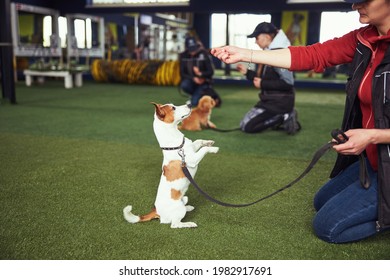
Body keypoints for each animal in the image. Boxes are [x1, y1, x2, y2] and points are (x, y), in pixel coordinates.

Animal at [123, 101, 218, 229]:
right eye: (173, 108)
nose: (189, 104)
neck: (176, 144)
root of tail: (156, 211)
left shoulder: (192, 148)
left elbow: (198, 141)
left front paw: (208, 142)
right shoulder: (193, 159)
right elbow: (204, 150)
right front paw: (214, 149)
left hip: (184, 198)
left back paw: (189, 207)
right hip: (178, 210)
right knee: (174, 224)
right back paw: (189, 223)